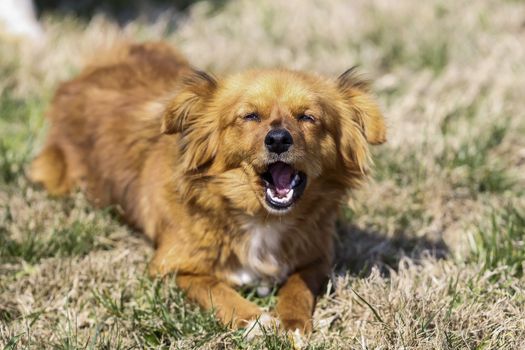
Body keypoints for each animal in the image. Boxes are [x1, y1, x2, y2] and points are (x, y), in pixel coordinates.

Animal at [30, 42, 386, 338]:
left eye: (308, 117)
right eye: (249, 116)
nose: (278, 139)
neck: (261, 218)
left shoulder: (318, 258)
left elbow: (298, 286)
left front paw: (292, 323)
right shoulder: (171, 268)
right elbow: (216, 289)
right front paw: (254, 320)